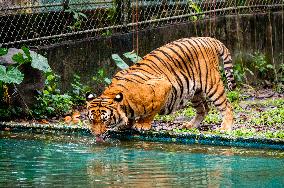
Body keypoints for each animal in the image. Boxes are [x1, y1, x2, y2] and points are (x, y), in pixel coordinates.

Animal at [86, 37, 235, 137]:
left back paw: (225, 128)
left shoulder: (163, 86)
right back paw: (190, 125)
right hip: (195, 92)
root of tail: (208, 38)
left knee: (227, 106)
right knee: (204, 109)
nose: (96, 135)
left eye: (105, 120)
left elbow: (151, 112)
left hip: (212, 85)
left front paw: (142, 125)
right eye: (92, 120)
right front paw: (127, 125)